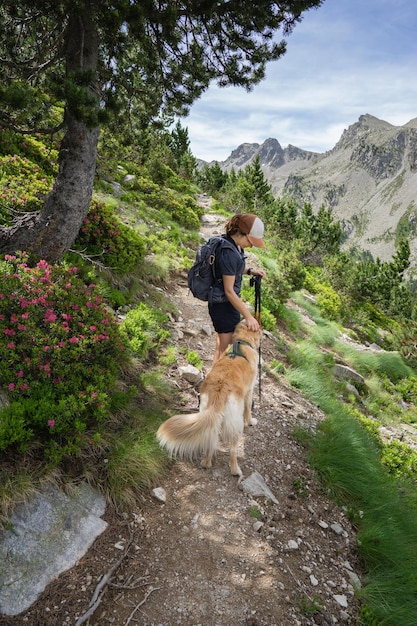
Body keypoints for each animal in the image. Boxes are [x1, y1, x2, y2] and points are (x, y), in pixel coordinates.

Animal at [156, 320, 260, 476]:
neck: (242, 341)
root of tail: (220, 389)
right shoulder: (250, 390)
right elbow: (248, 409)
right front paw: (252, 421)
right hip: (234, 421)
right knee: (233, 448)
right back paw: (235, 469)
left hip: (206, 410)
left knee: (211, 439)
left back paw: (206, 462)